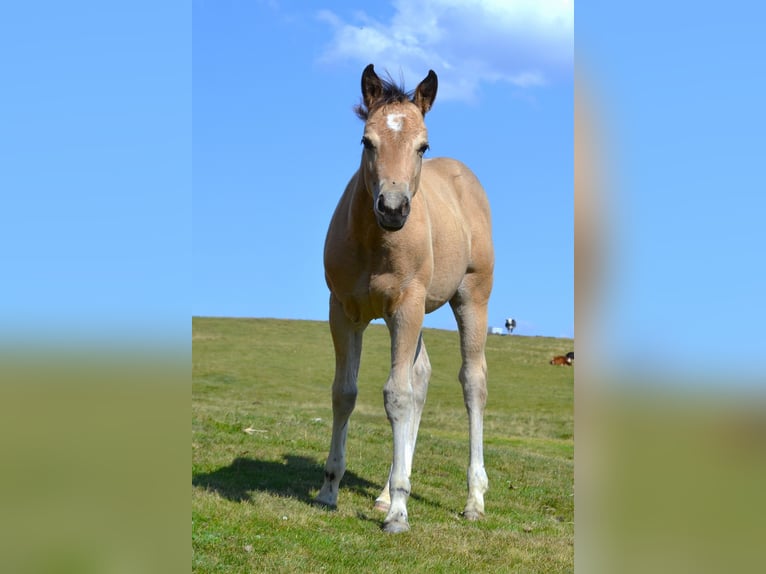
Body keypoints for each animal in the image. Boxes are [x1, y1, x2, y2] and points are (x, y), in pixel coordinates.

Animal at [314, 64, 495, 533]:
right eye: (367, 141)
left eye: (422, 145)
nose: (393, 208)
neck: (374, 242)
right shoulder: (343, 312)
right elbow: (345, 392)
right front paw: (328, 490)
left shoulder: (404, 308)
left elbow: (396, 396)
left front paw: (399, 512)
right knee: (422, 377)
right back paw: (383, 493)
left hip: (471, 298)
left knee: (472, 382)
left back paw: (473, 499)